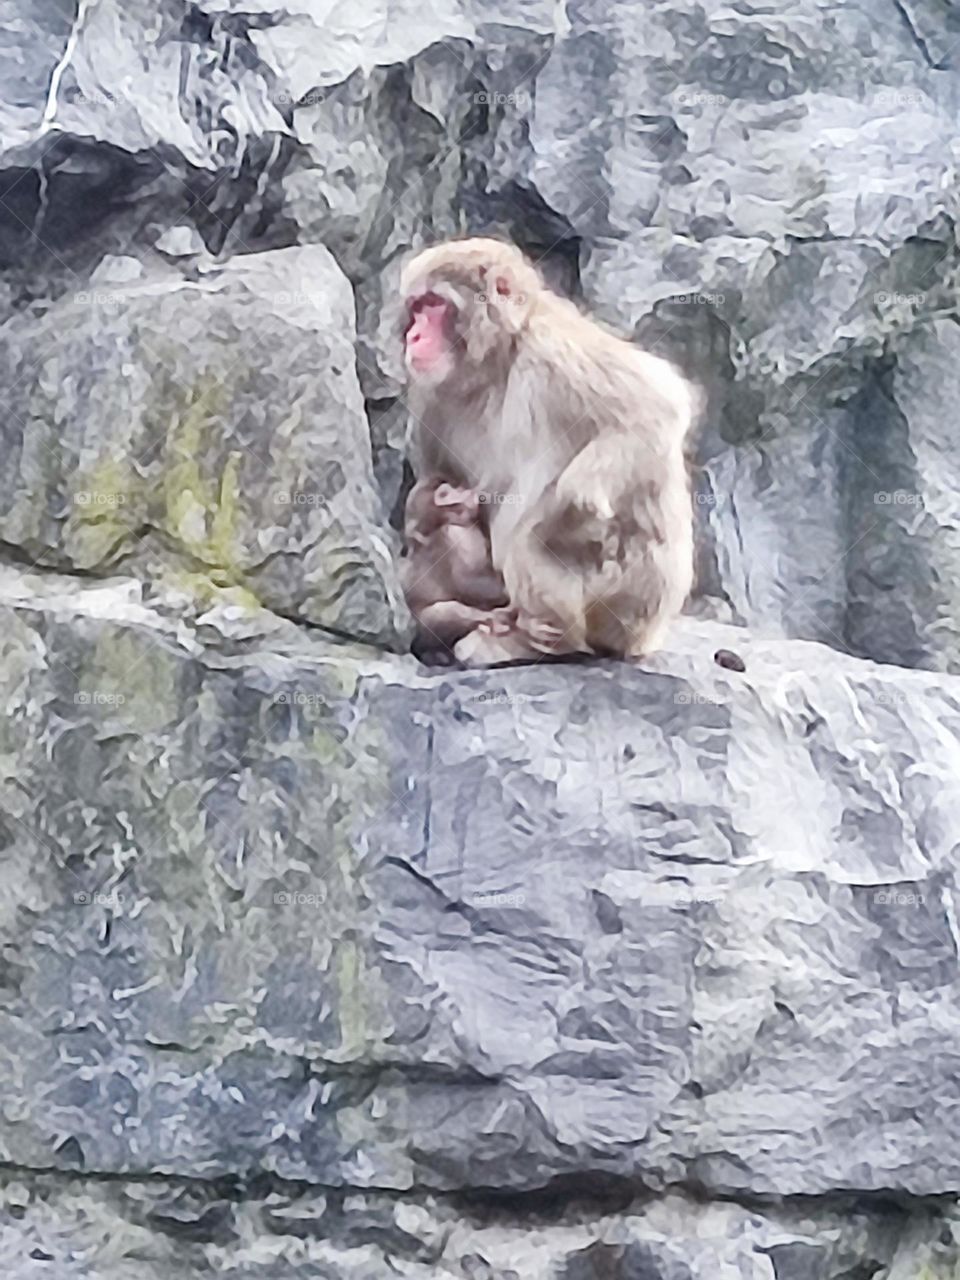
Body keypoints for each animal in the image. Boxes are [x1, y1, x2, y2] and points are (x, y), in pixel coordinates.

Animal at [400, 473, 511, 652]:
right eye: (449, 491)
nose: (468, 491)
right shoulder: (455, 539)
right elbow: (466, 582)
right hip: (430, 622)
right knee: (449, 613)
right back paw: (495, 618)